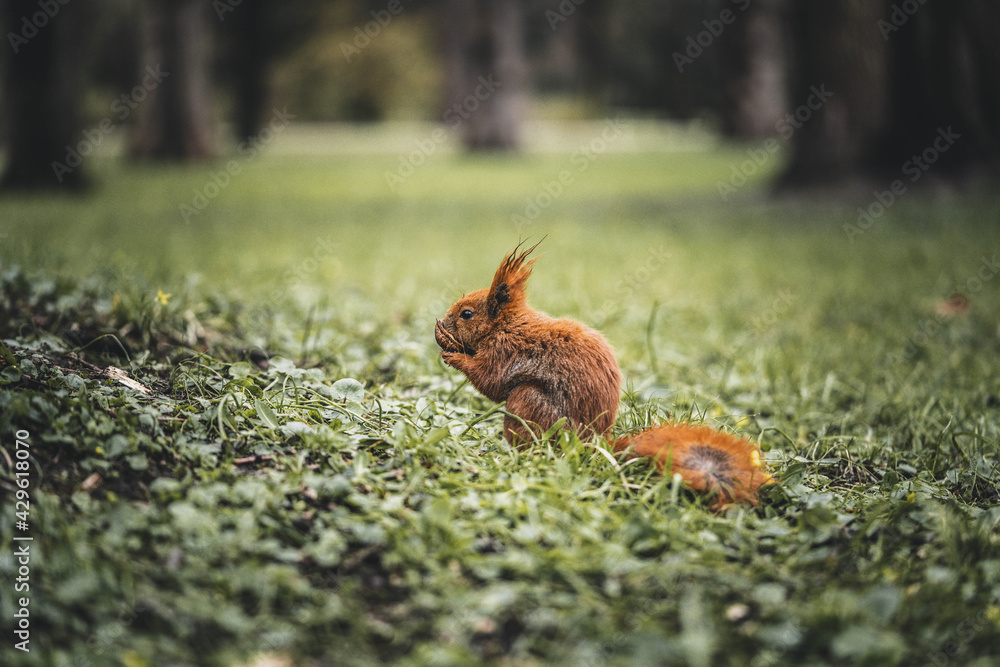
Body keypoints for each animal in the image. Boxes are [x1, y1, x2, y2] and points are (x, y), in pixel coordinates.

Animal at [434, 241, 771, 507]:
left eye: (466, 314)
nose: (443, 320)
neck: (505, 326)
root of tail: (594, 443)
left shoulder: (504, 353)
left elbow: (490, 381)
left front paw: (453, 355)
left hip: (528, 403)